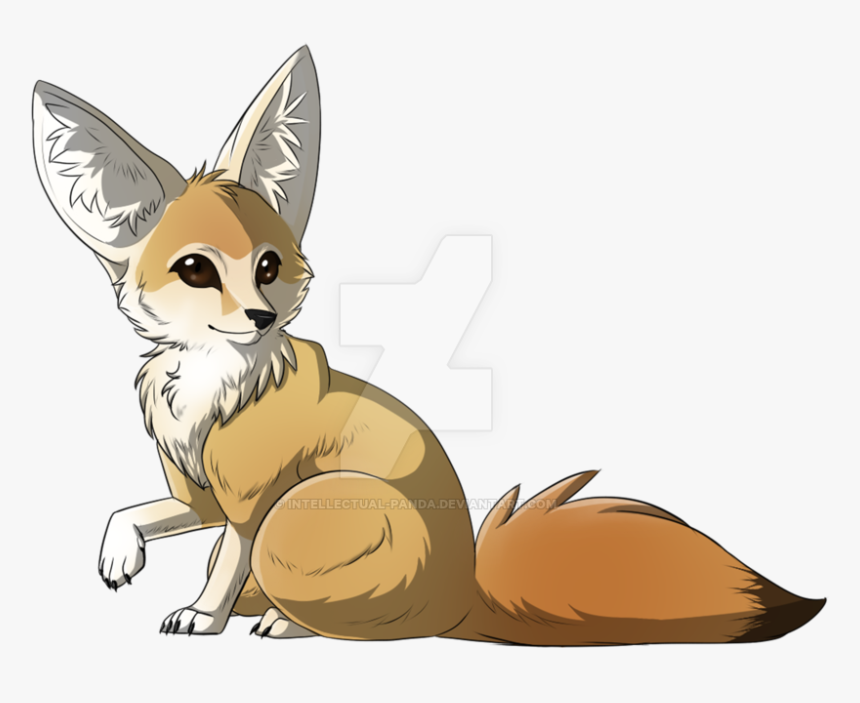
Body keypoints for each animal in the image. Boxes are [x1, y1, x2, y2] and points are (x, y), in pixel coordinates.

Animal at [33, 46, 825, 643]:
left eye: (268, 266)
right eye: (196, 270)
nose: (259, 317)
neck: (208, 385)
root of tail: (463, 594)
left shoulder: (251, 504)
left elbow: (226, 562)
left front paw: (203, 615)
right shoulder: (198, 495)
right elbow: (132, 513)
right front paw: (120, 555)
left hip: (303, 508)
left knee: (352, 622)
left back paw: (285, 625)